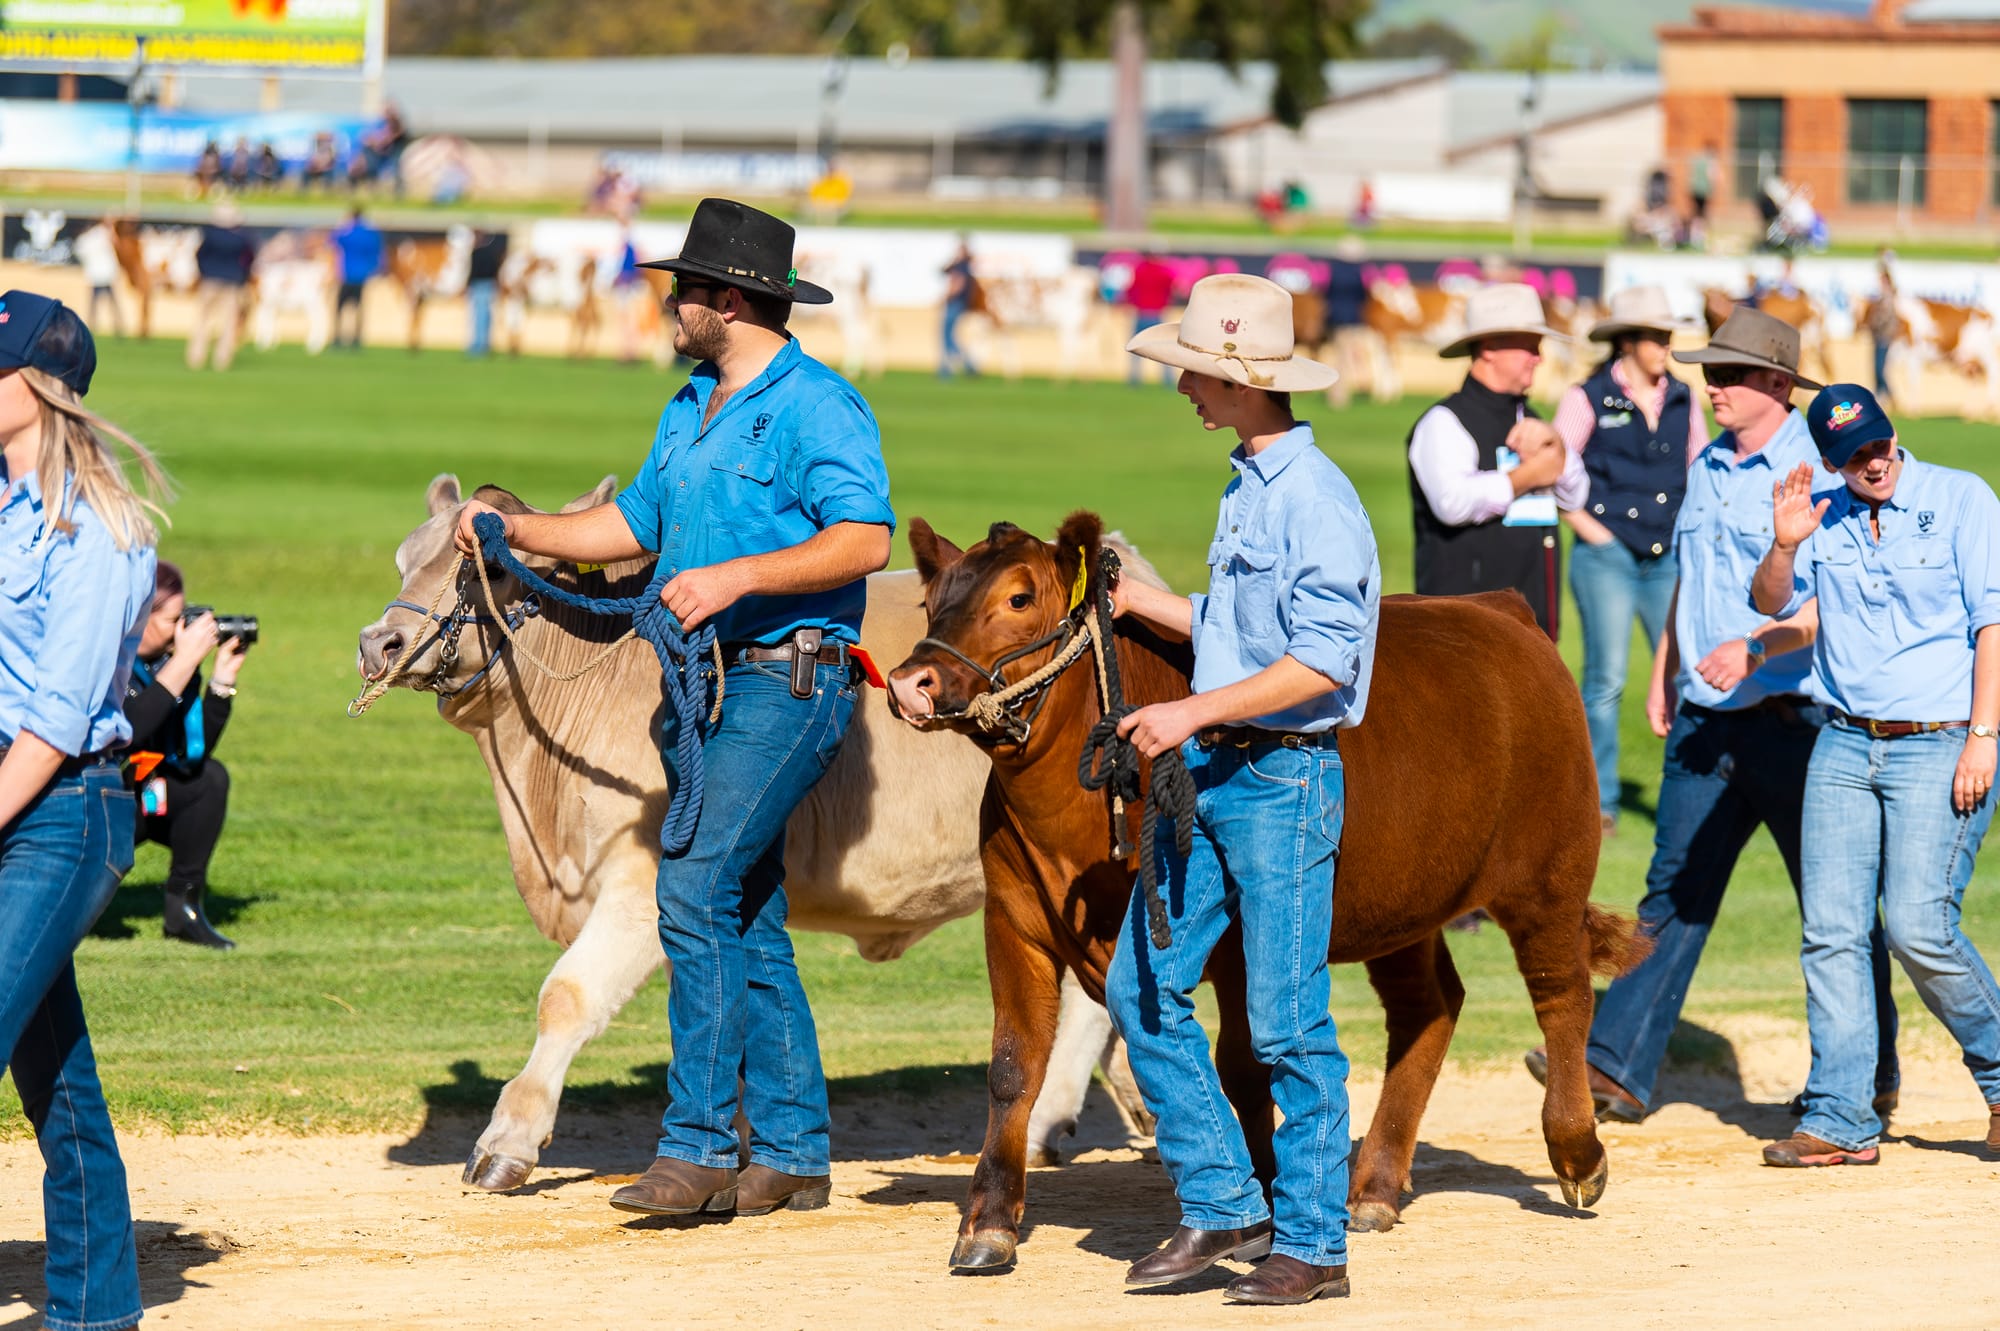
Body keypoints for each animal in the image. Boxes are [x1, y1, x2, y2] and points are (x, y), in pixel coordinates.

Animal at [354, 476, 1156, 1191]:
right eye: (402, 558)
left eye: (485, 567)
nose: (377, 642)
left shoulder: (644, 881)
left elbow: (569, 996)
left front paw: (506, 1142)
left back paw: (1055, 1117)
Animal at [885, 511, 1647, 1273]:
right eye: (931, 599)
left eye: (1017, 598)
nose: (909, 678)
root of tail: (1498, 608)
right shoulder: (1013, 921)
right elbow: (1013, 1067)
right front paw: (988, 1222)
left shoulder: (1237, 942)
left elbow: (1242, 1065)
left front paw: (1267, 1208)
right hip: (1399, 903)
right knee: (1428, 1006)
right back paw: (1374, 1187)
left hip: (1548, 870)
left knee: (1561, 992)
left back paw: (1578, 1153)